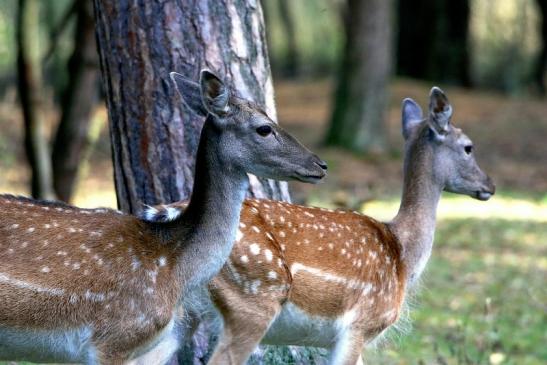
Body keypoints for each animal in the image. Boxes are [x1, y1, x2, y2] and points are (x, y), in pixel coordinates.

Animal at [143, 86, 494, 362]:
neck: (403, 253)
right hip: (251, 300)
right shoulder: (360, 325)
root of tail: (168, 214)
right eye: (468, 147)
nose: (489, 185)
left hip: (183, 315)